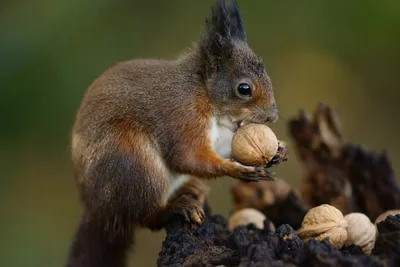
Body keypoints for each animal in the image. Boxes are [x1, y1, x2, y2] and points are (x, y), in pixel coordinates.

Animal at [65, 0, 286, 267]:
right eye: (244, 89)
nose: (273, 117)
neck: (203, 92)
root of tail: (99, 212)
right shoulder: (182, 115)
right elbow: (186, 156)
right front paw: (238, 169)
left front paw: (278, 151)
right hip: (135, 165)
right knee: (147, 217)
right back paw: (176, 207)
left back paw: (192, 189)